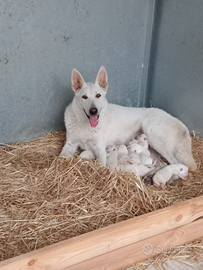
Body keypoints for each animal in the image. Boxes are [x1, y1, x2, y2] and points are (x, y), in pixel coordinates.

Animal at [59, 65, 196, 171]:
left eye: (98, 95)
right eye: (84, 97)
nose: (94, 111)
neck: (85, 124)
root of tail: (182, 127)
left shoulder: (100, 150)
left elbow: (101, 165)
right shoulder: (70, 144)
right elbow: (60, 156)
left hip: (155, 138)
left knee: (175, 162)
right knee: (161, 163)